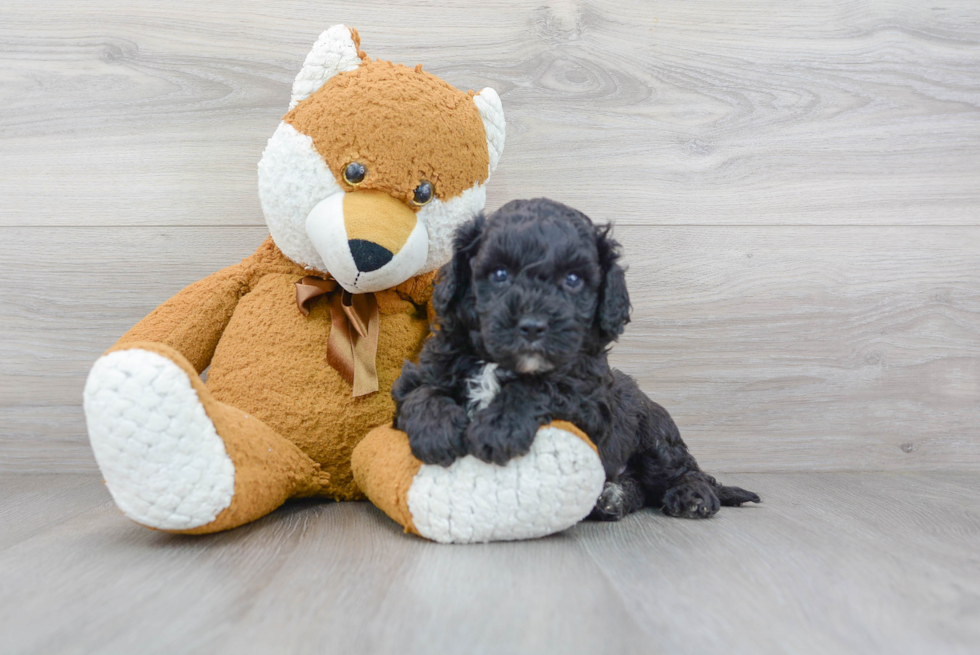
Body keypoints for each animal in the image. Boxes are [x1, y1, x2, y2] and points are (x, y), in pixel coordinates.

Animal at [390, 197, 756, 520]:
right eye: (499, 274)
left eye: (573, 280)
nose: (532, 326)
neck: (501, 363)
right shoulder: (427, 370)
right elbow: (421, 393)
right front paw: (435, 430)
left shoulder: (589, 403)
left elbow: (540, 388)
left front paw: (498, 427)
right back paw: (613, 498)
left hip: (654, 432)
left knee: (683, 470)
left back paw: (691, 496)